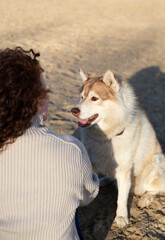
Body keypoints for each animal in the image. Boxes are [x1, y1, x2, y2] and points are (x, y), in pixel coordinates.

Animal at [71, 69, 165, 227]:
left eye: (94, 98)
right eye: (81, 97)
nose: (74, 110)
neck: (106, 136)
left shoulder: (124, 171)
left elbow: (121, 198)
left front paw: (121, 217)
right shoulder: (92, 161)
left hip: (157, 160)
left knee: (155, 189)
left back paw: (145, 198)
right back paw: (104, 181)